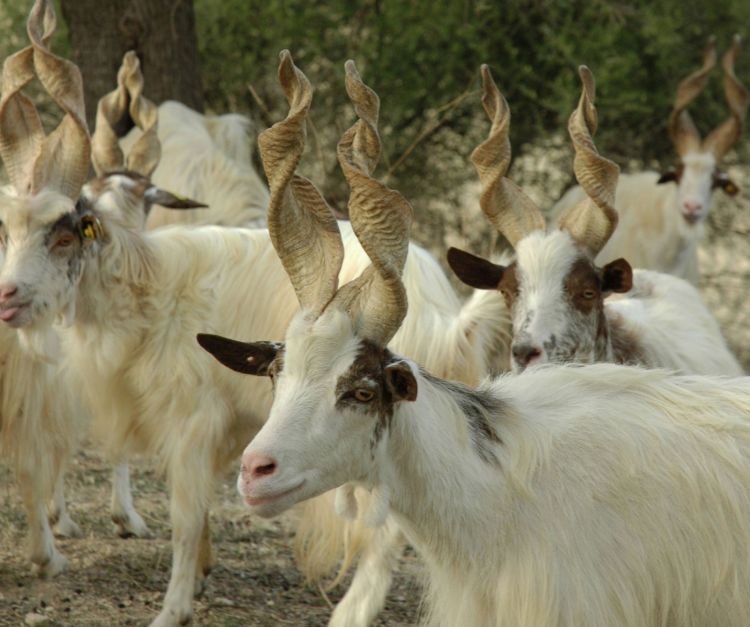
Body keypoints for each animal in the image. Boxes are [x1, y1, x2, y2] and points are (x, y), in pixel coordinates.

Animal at [0, 45, 508, 627]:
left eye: (64, 234)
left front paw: (172, 607)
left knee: (384, 536)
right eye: (9, 228)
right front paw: (200, 571)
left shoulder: (193, 419)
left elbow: (185, 515)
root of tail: (446, 319)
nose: (8, 297)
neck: (154, 284)